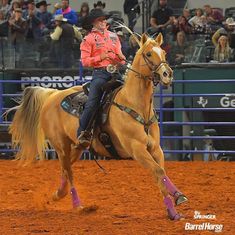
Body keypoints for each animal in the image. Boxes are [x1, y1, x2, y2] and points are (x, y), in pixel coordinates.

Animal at [10, 33, 188, 220]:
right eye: (148, 54)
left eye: (163, 52)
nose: (167, 74)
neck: (134, 104)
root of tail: (53, 94)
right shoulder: (136, 149)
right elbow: (158, 172)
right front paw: (173, 212)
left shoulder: (155, 148)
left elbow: (162, 172)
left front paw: (178, 197)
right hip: (61, 146)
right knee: (69, 172)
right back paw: (78, 205)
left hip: (77, 147)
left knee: (65, 170)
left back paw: (58, 194)